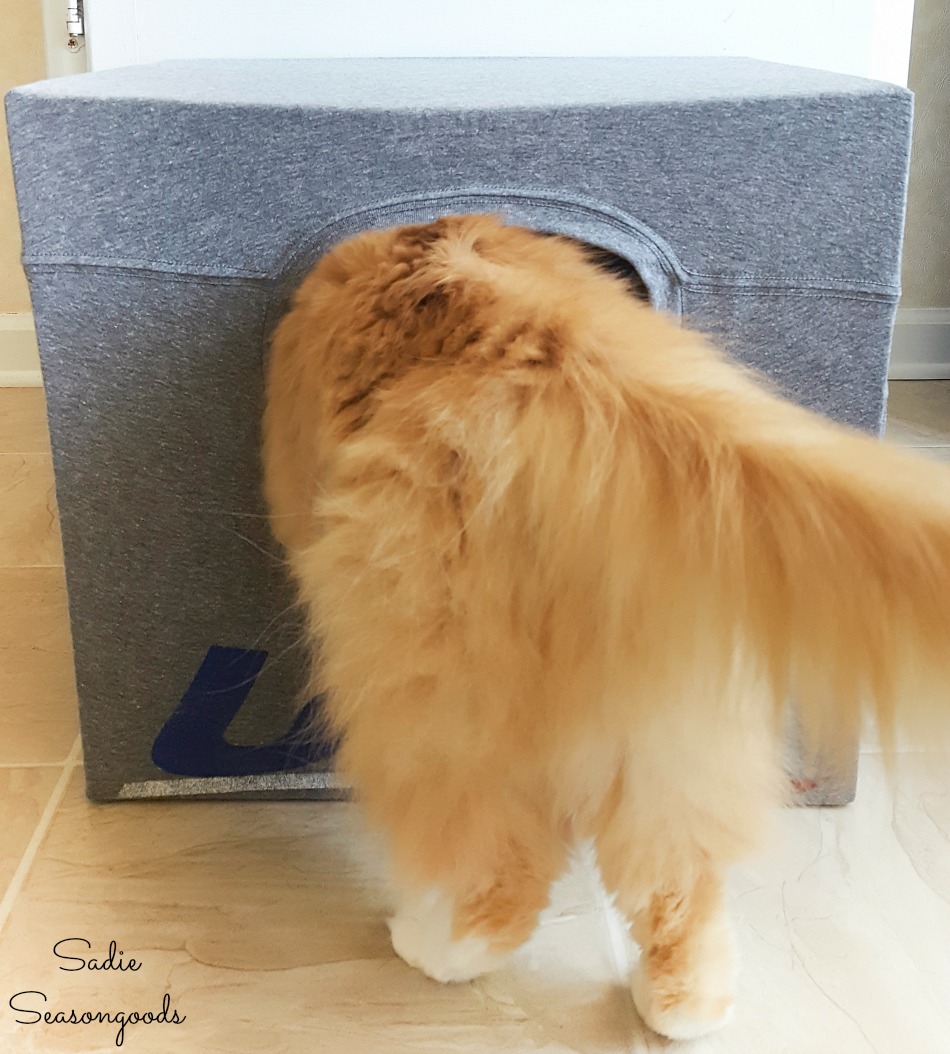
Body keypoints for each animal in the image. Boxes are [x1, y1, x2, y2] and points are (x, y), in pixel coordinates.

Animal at [259, 211, 948, 1037]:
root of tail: (567, 359)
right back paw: (679, 1009)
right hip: (674, 730)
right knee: (680, 883)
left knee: (501, 871)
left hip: (425, 685)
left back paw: (433, 947)